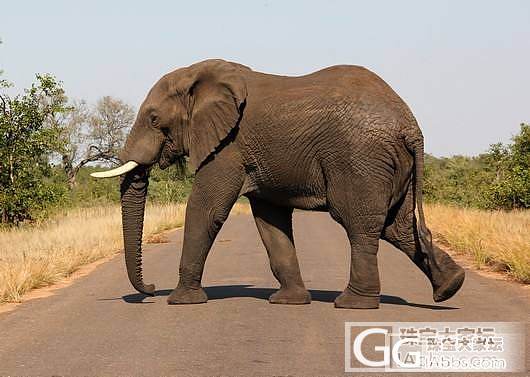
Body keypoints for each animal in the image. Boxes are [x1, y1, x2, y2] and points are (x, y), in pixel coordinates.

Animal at [91, 58, 462, 306]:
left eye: (154, 119)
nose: (152, 289)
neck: (200, 76)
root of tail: (410, 125)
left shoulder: (229, 146)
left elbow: (206, 210)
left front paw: (182, 301)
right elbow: (270, 221)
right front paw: (288, 302)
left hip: (360, 160)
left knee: (359, 224)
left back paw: (353, 304)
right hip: (393, 165)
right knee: (399, 228)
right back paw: (449, 288)